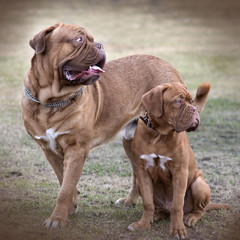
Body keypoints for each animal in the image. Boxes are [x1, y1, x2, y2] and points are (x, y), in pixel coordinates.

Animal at [22, 23, 185, 229]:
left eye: (92, 39)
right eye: (79, 40)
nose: (99, 45)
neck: (51, 102)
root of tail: (169, 65)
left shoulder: (76, 150)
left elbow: (65, 188)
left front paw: (57, 218)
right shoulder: (49, 149)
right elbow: (63, 180)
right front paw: (71, 206)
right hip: (131, 142)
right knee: (137, 172)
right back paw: (130, 201)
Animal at [128, 82, 230, 238]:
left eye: (192, 101)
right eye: (178, 101)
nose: (194, 109)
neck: (159, 135)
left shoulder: (180, 172)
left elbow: (177, 205)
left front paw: (177, 230)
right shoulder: (142, 171)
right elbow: (147, 202)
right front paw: (143, 224)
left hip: (198, 184)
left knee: (199, 210)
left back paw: (191, 217)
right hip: (140, 183)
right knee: (160, 209)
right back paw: (155, 216)